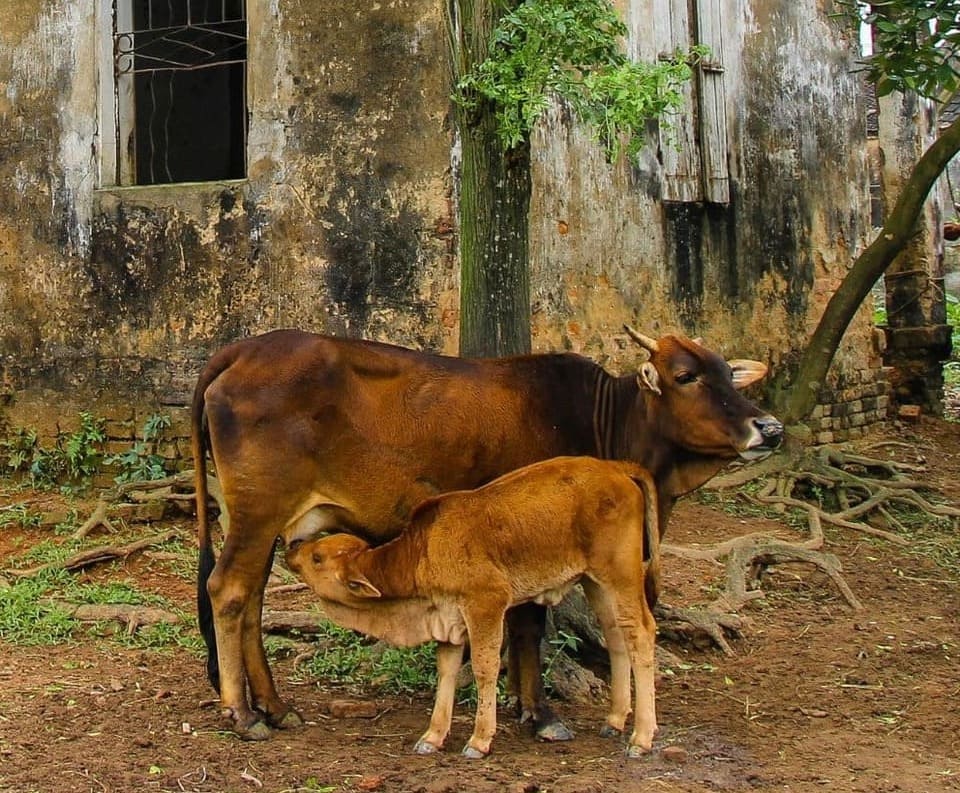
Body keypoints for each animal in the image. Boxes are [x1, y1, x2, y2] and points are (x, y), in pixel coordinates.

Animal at [284, 454, 660, 756]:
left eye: (317, 558)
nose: (293, 548)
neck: (422, 552)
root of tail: (615, 468)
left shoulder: (486, 603)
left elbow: (484, 667)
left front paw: (479, 740)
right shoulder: (447, 620)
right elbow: (446, 671)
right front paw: (432, 737)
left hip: (621, 575)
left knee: (641, 632)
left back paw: (641, 739)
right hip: (595, 582)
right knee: (616, 634)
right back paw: (615, 719)